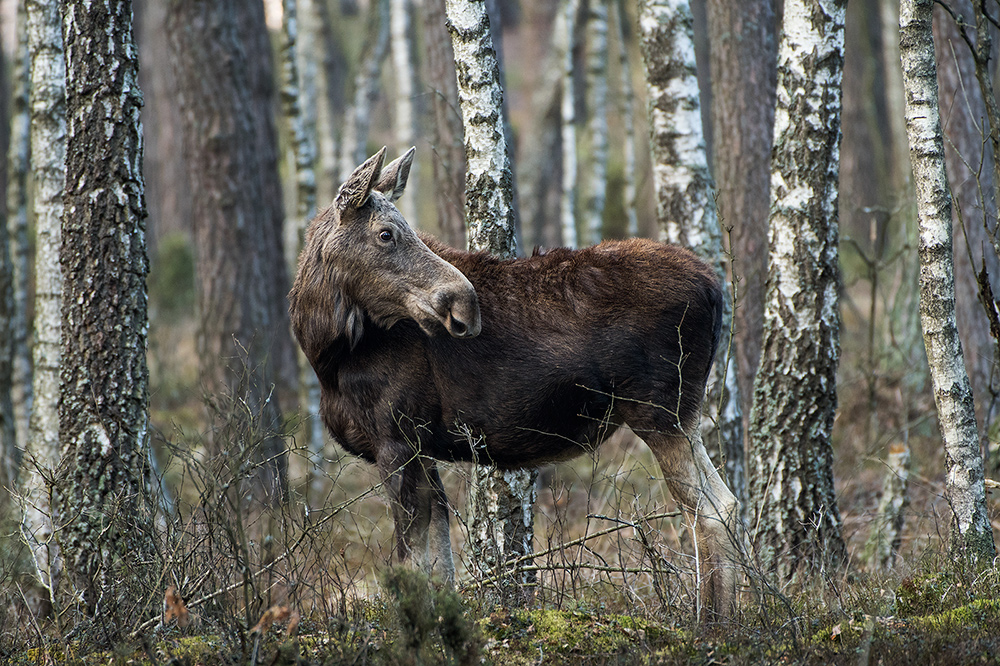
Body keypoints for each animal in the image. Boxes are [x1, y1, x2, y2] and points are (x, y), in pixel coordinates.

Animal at [286, 148, 748, 616]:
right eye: (385, 234)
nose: (465, 304)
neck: (326, 351)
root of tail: (716, 287)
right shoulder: (422, 446)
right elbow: (440, 560)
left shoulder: (397, 439)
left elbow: (410, 562)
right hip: (676, 415)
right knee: (721, 506)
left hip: (663, 412)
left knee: (712, 509)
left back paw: (714, 621)